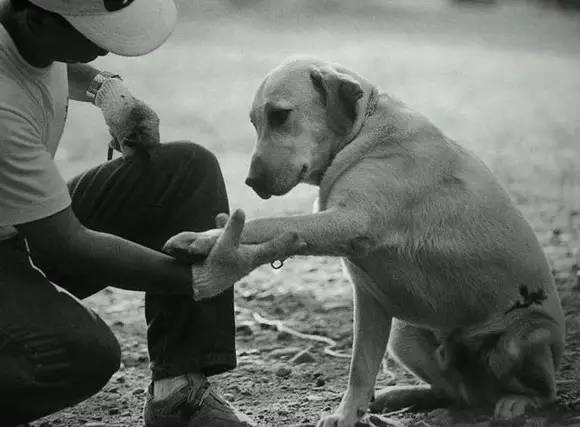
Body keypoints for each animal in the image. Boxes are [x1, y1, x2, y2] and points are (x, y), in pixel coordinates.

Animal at [165, 57, 564, 427]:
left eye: (279, 116)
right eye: (254, 123)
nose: (251, 182)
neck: (364, 132)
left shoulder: (347, 221)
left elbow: (271, 223)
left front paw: (205, 239)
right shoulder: (371, 301)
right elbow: (360, 367)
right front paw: (348, 414)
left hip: (519, 340)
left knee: (546, 393)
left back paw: (516, 402)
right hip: (405, 335)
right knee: (452, 393)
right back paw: (398, 395)